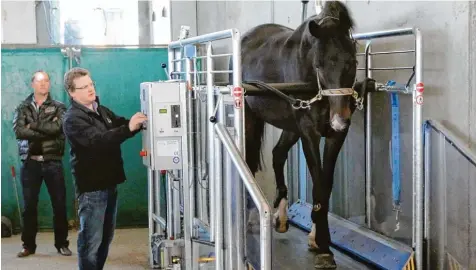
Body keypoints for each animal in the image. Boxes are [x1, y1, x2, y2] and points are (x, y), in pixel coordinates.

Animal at [229, 0, 362, 268]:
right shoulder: (309, 133)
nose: (339, 120)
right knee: (250, 160)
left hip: (290, 127)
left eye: (351, 61)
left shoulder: (334, 136)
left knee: (277, 154)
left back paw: (280, 215)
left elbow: (326, 184)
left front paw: (317, 239)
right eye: (320, 64)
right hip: (252, 120)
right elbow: (318, 183)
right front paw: (324, 246)